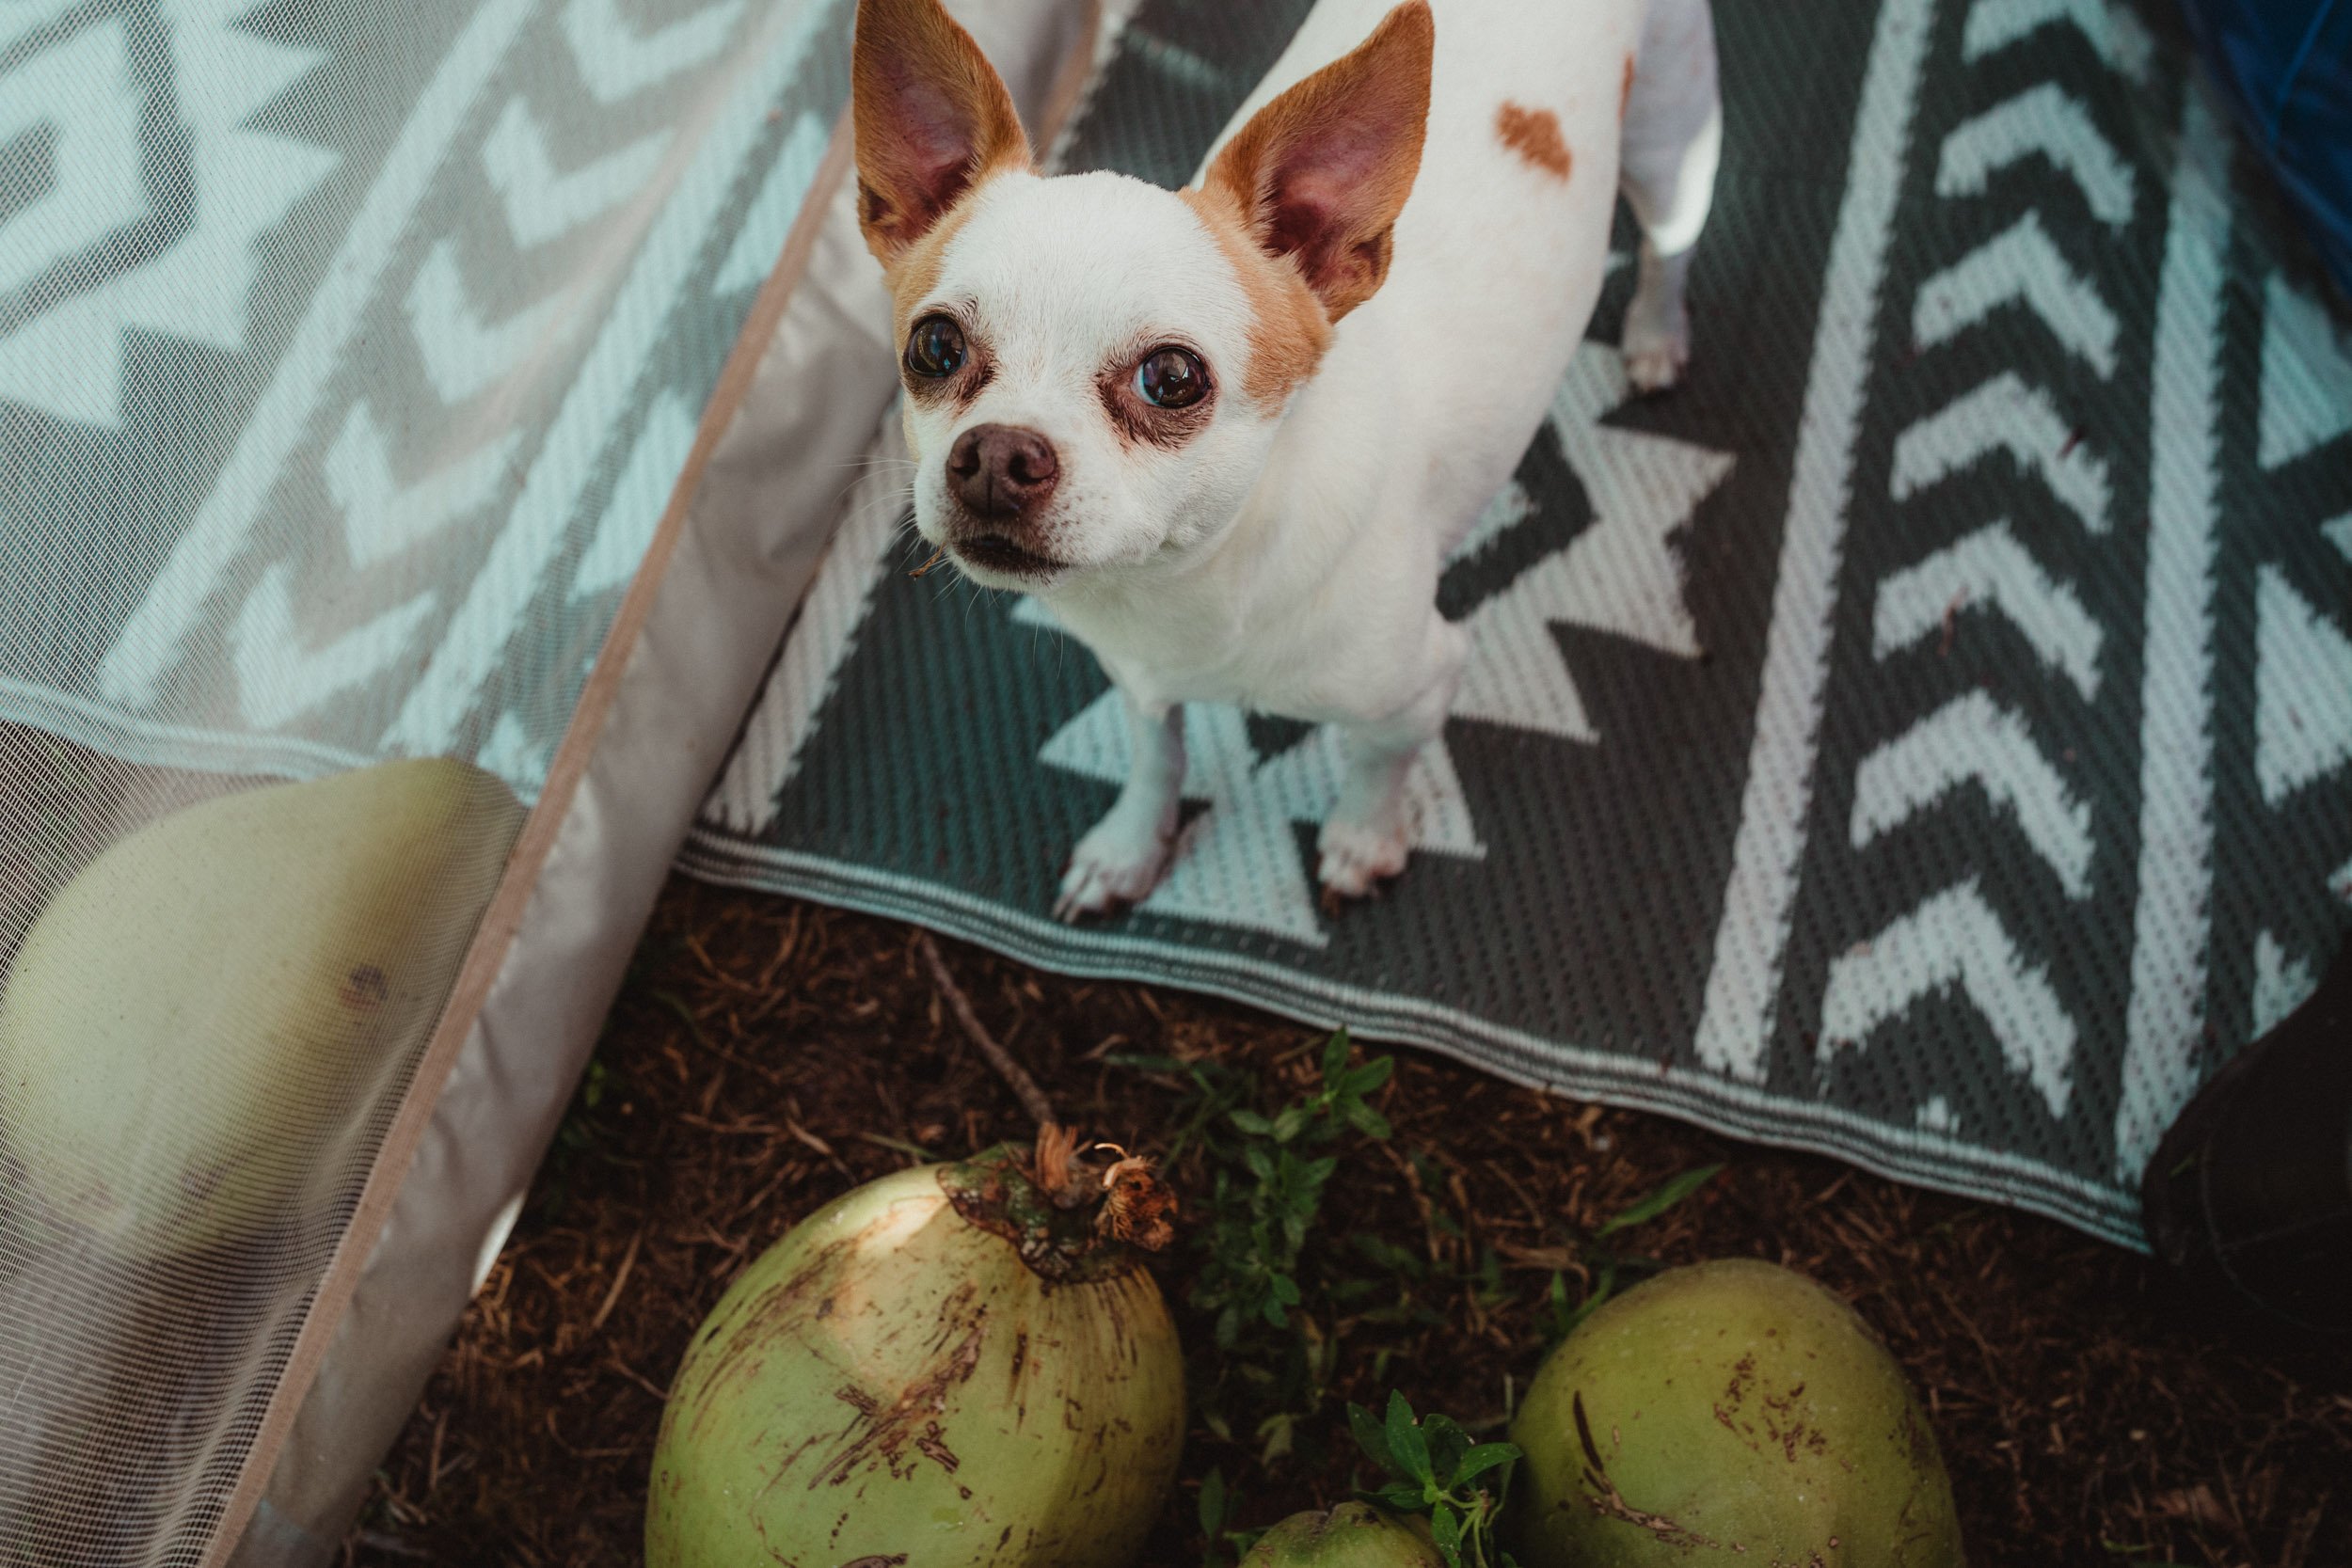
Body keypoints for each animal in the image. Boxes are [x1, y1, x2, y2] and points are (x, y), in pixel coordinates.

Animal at [856, 0, 1722, 921]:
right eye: (935, 347)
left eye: (1171, 378)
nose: (996, 452)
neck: (1188, 582)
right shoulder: (1137, 681)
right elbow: (1158, 757)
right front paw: (1131, 848)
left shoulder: (1420, 688)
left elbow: (1379, 764)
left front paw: (1363, 840)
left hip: (1674, 151)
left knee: (1671, 247)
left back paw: (1656, 335)